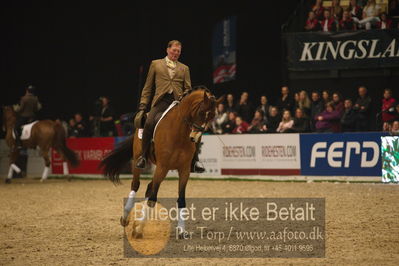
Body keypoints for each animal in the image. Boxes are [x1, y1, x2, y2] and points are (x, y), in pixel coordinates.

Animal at [101, 88, 225, 238]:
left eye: (212, 116)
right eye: (201, 112)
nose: (195, 137)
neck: (180, 134)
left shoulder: (184, 170)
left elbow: (180, 199)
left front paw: (181, 230)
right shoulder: (162, 166)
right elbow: (153, 198)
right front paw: (138, 229)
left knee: (149, 187)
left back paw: (138, 223)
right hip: (139, 160)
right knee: (136, 185)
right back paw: (126, 218)